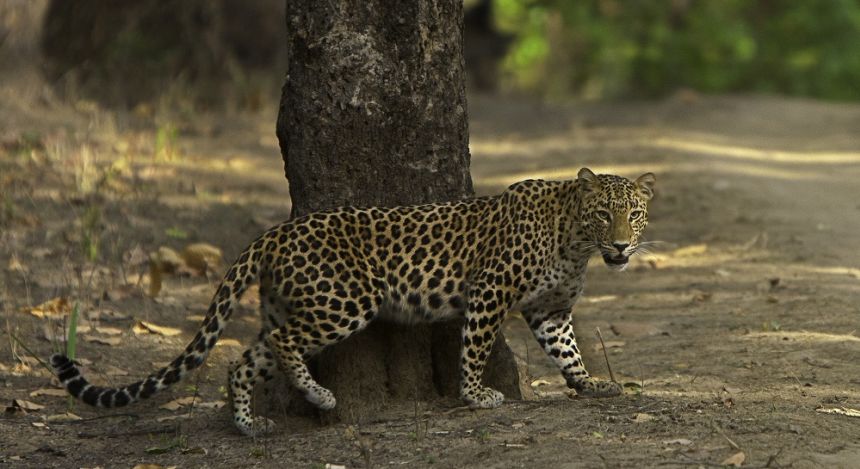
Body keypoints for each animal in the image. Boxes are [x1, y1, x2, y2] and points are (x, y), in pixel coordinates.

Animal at [50, 167, 656, 436]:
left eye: (634, 214)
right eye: (604, 214)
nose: (622, 245)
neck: (574, 242)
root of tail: (274, 233)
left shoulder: (549, 310)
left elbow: (567, 349)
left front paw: (590, 385)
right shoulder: (489, 292)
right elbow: (475, 348)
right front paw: (477, 395)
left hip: (292, 303)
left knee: (245, 359)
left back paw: (250, 424)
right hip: (344, 301)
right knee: (283, 341)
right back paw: (319, 396)